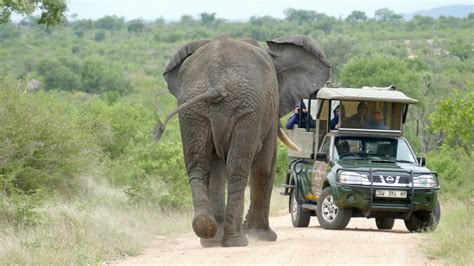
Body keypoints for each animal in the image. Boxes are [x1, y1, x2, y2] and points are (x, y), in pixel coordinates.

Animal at [156, 34, 330, 247]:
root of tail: (216, 80)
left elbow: (217, 165)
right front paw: (263, 236)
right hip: (246, 109)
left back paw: (207, 231)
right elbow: (265, 164)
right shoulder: (269, 107)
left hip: (194, 110)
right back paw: (236, 239)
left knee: (198, 164)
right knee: (238, 167)